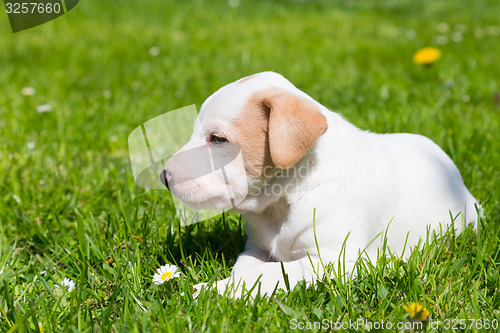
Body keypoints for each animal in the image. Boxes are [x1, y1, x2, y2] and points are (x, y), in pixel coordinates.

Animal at [162, 71, 478, 296]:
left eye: (218, 139)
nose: (164, 176)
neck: (281, 204)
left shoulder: (336, 260)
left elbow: (268, 274)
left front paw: (210, 291)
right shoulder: (256, 249)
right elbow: (247, 269)